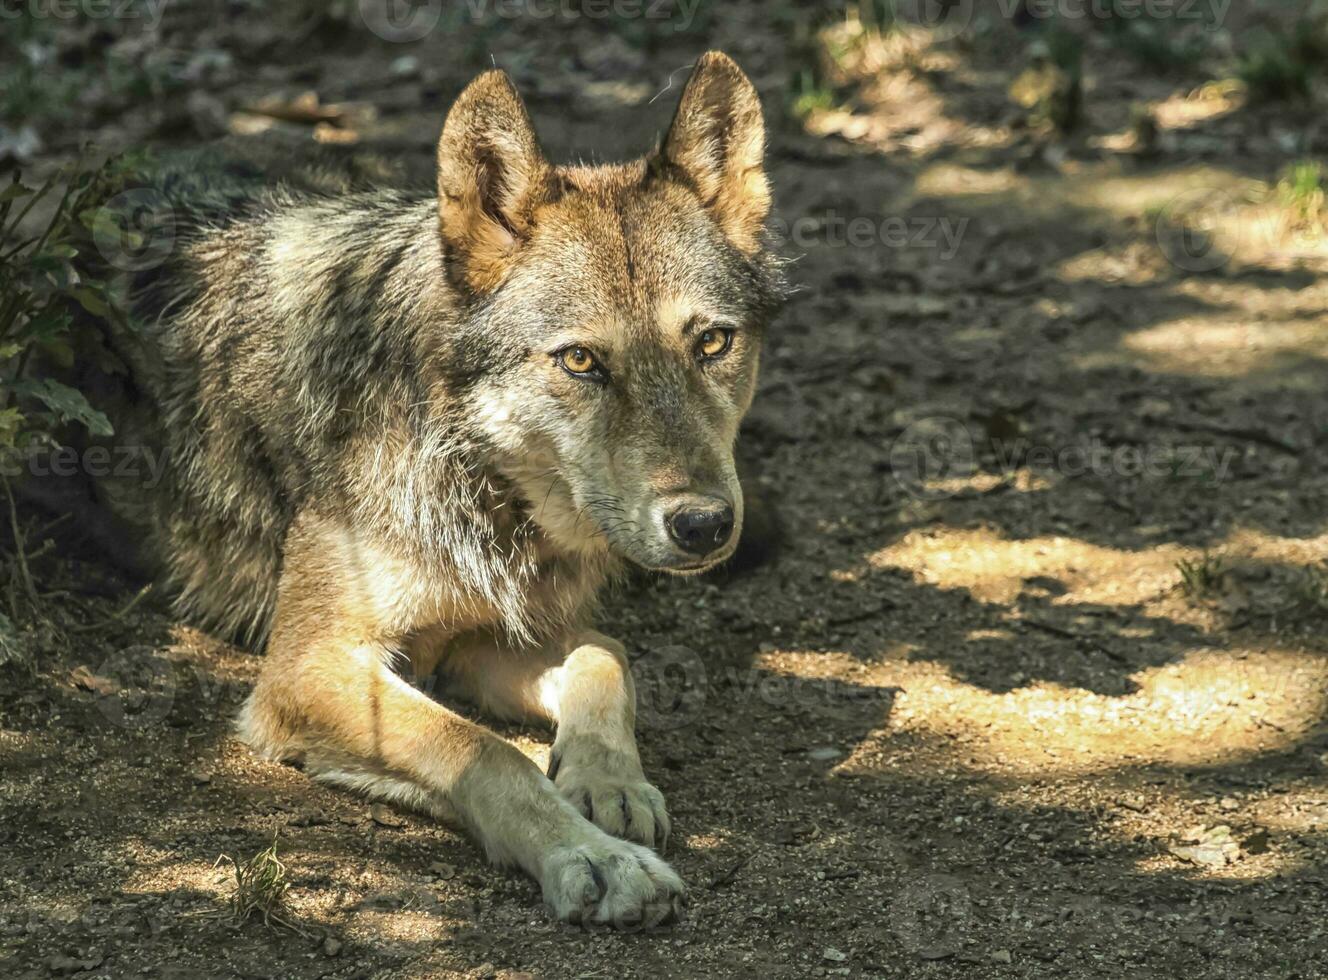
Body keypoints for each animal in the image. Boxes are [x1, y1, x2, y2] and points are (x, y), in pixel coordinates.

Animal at [96, 51, 775, 924]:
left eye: (713, 342)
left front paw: (608, 784)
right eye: (581, 361)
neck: (473, 478)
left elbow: (604, 654)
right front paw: (593, 856)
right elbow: (483, 749)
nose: (703, 525)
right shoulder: (306, 667)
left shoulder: (466, 645)